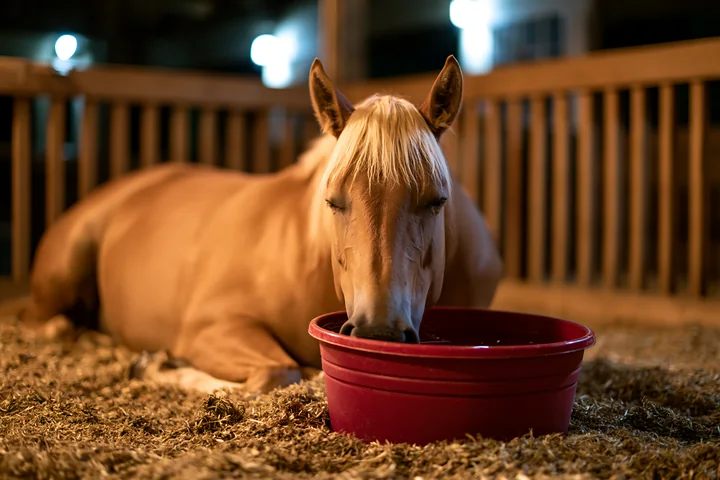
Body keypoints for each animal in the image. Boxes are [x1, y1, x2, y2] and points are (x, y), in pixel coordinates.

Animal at [19, 56, 503, 394]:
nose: (377, 332)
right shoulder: (213, 328)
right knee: (55, 325)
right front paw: (157, 366)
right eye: (332, 201)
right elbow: (280, 372)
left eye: (437, 201)